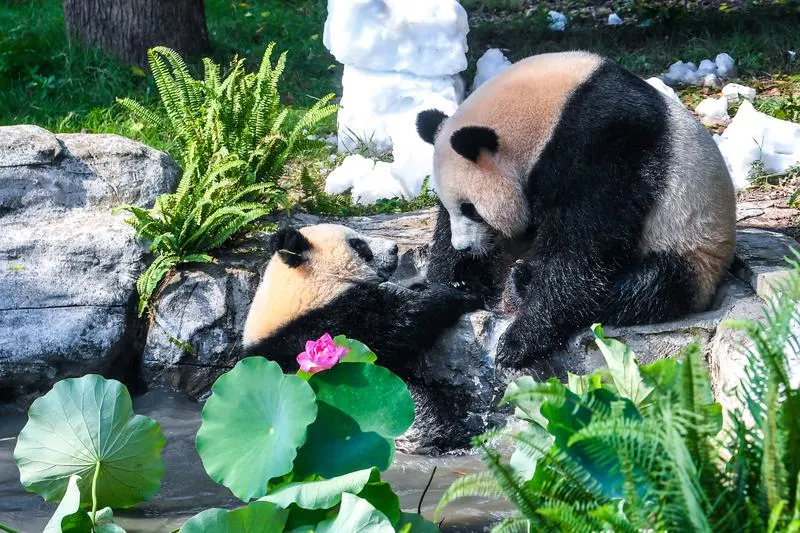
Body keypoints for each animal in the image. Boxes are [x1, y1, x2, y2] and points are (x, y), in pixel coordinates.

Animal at [415, 51, 736, 369]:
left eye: (471, 209)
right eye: (450, 206)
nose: (465, 247)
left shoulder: (602, 144)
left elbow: (582, 247)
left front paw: (517, 342)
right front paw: (450, 282)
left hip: (690, 246)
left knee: (644, 288)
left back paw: (521, 282)